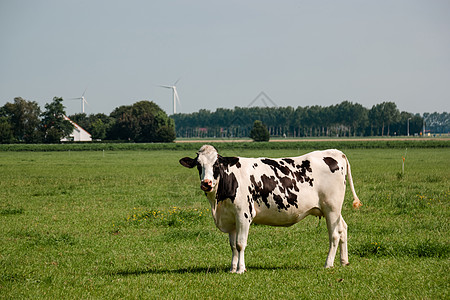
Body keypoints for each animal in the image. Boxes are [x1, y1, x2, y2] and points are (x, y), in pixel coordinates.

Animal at [180, 144, 362, 274]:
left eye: (217, 164)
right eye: (198, 165)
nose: (206, 183)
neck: (218, 203)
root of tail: (335, 152)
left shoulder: (243, 214)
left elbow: (240, 244)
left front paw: (240, 269)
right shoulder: (230, 218)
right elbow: (232, 245)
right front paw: (232, 268)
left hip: (331, 208)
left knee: (334, 235)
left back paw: (328, 264)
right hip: (333, 210)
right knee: (343, 229)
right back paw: (344, 261)